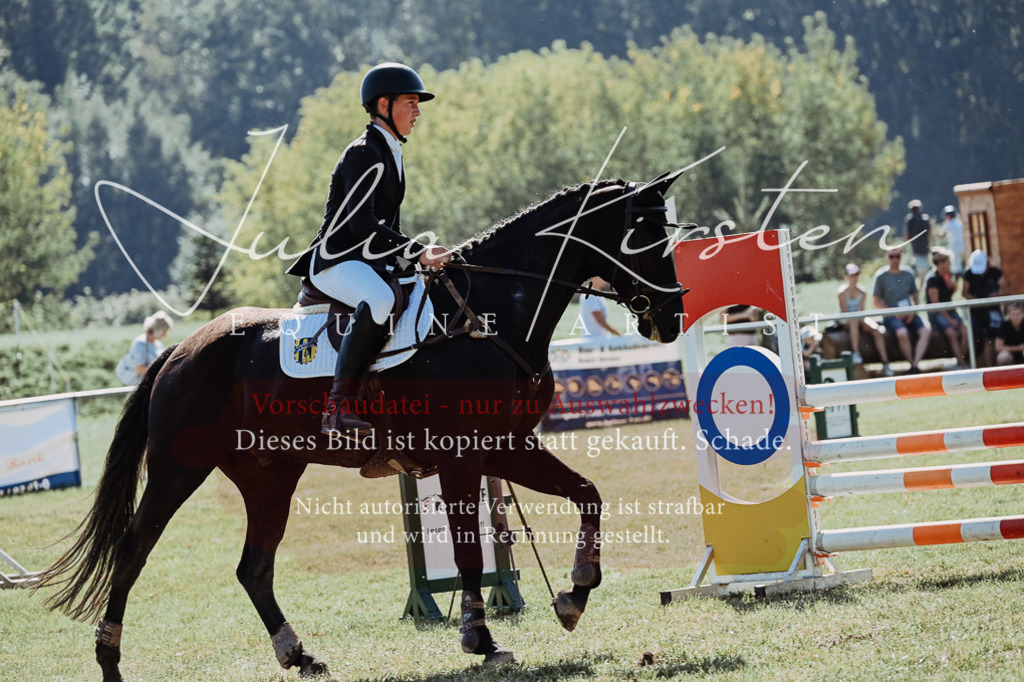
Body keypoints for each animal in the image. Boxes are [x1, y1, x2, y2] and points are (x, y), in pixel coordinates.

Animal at [36, 170, 687, 680]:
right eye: (644, 235)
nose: (672, 316)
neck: (492, 313)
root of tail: (180, 350)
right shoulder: (462, 454)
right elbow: (469, 549)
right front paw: (481, 639)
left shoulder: (505, 445)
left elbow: (587, 494)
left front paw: (574, 592)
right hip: (179, 470)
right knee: (133, 551)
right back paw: (109, 660)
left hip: (270, 475)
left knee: (254, 567)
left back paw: (298, 654)